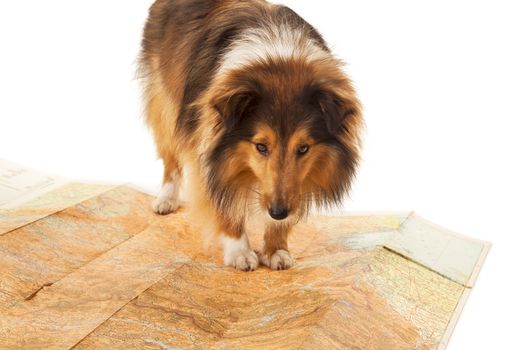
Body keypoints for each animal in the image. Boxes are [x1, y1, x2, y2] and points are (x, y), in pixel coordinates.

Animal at [138, 0, 360, 270]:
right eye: (261, 146)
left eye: (303, 148)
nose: (278, 212)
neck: (278, 60)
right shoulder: (207, 146)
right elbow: (223, 201)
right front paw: (240, 251)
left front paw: (276, 248)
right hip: (165, 101)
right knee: (170, 156)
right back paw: (166, 199)